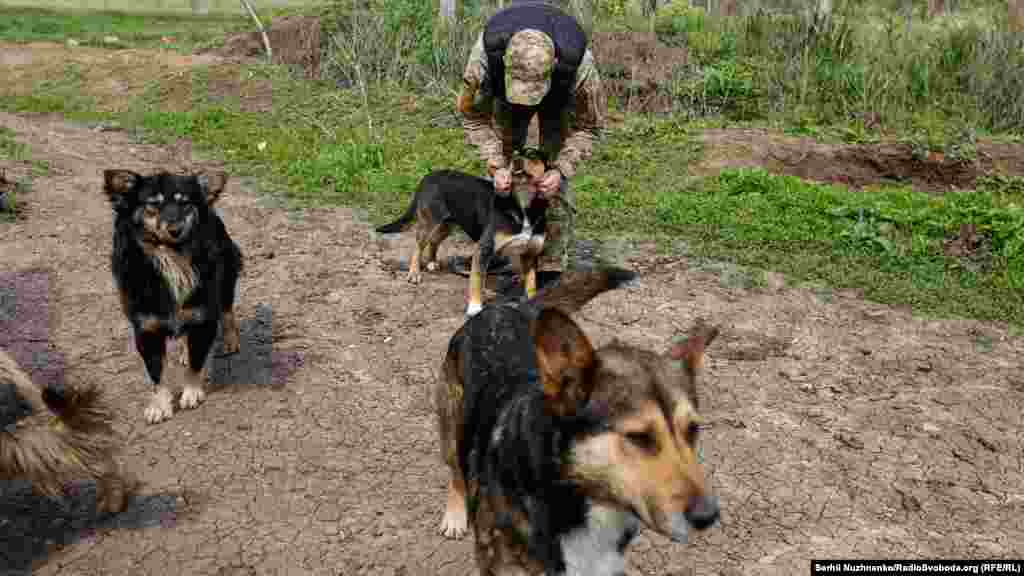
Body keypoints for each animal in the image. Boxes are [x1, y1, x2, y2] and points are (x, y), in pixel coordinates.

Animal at [102, 168, 242, 424]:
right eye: (153, 204)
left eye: (184, 203)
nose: (175, 229)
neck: (172, 257)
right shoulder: (146, 328)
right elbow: (156, 372)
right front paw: (159, 405)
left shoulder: (203, 317)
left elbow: (197, 361)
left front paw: (191, 392)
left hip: (227, 271)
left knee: (227, 310)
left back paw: (230, 339)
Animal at [376, 150, 552, 315]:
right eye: (514, 155)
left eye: (533, 154)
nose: (516, 161)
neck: (523, 205)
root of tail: (430, 175)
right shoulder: (484, 249)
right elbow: (476, 280)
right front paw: (474, 307)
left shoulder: (530, 253)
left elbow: (531, 284)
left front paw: (531, 301)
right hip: (429, 222)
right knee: (418, 246)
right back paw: (414, 273)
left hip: (448, 224)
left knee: (434, 241)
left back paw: (432, 262)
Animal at [432, 268, 720, 573]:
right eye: (639, 437)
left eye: (693, 430)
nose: (708, 516)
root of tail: (506, 307)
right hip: (451, 424)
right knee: (456, 470)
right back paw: (454, 513)